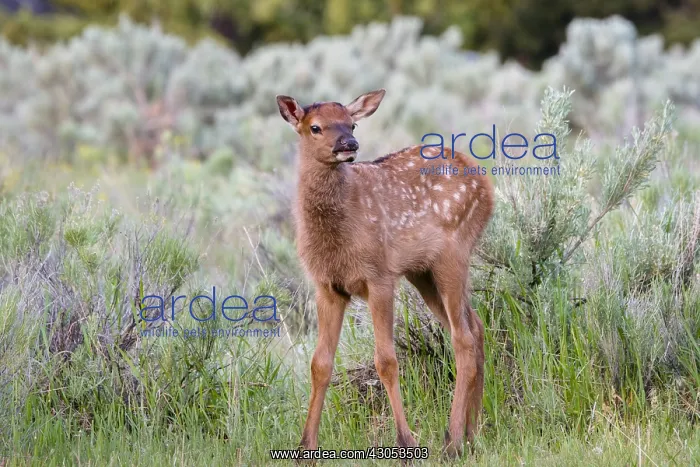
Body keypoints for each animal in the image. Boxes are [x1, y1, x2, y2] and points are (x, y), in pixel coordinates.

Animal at [276, 89, 494, 458]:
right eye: (315, 127)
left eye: (351, 123)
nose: (349, 144)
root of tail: (485, 182)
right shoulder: (327, 286)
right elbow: (320, 364)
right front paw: (306, 448)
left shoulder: (378, 276)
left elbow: (386, 361)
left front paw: (406, 442)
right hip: (423, 272)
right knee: (474, 326)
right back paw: (471, 434)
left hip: (454, 254)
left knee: (462, 337)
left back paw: (452, 440)